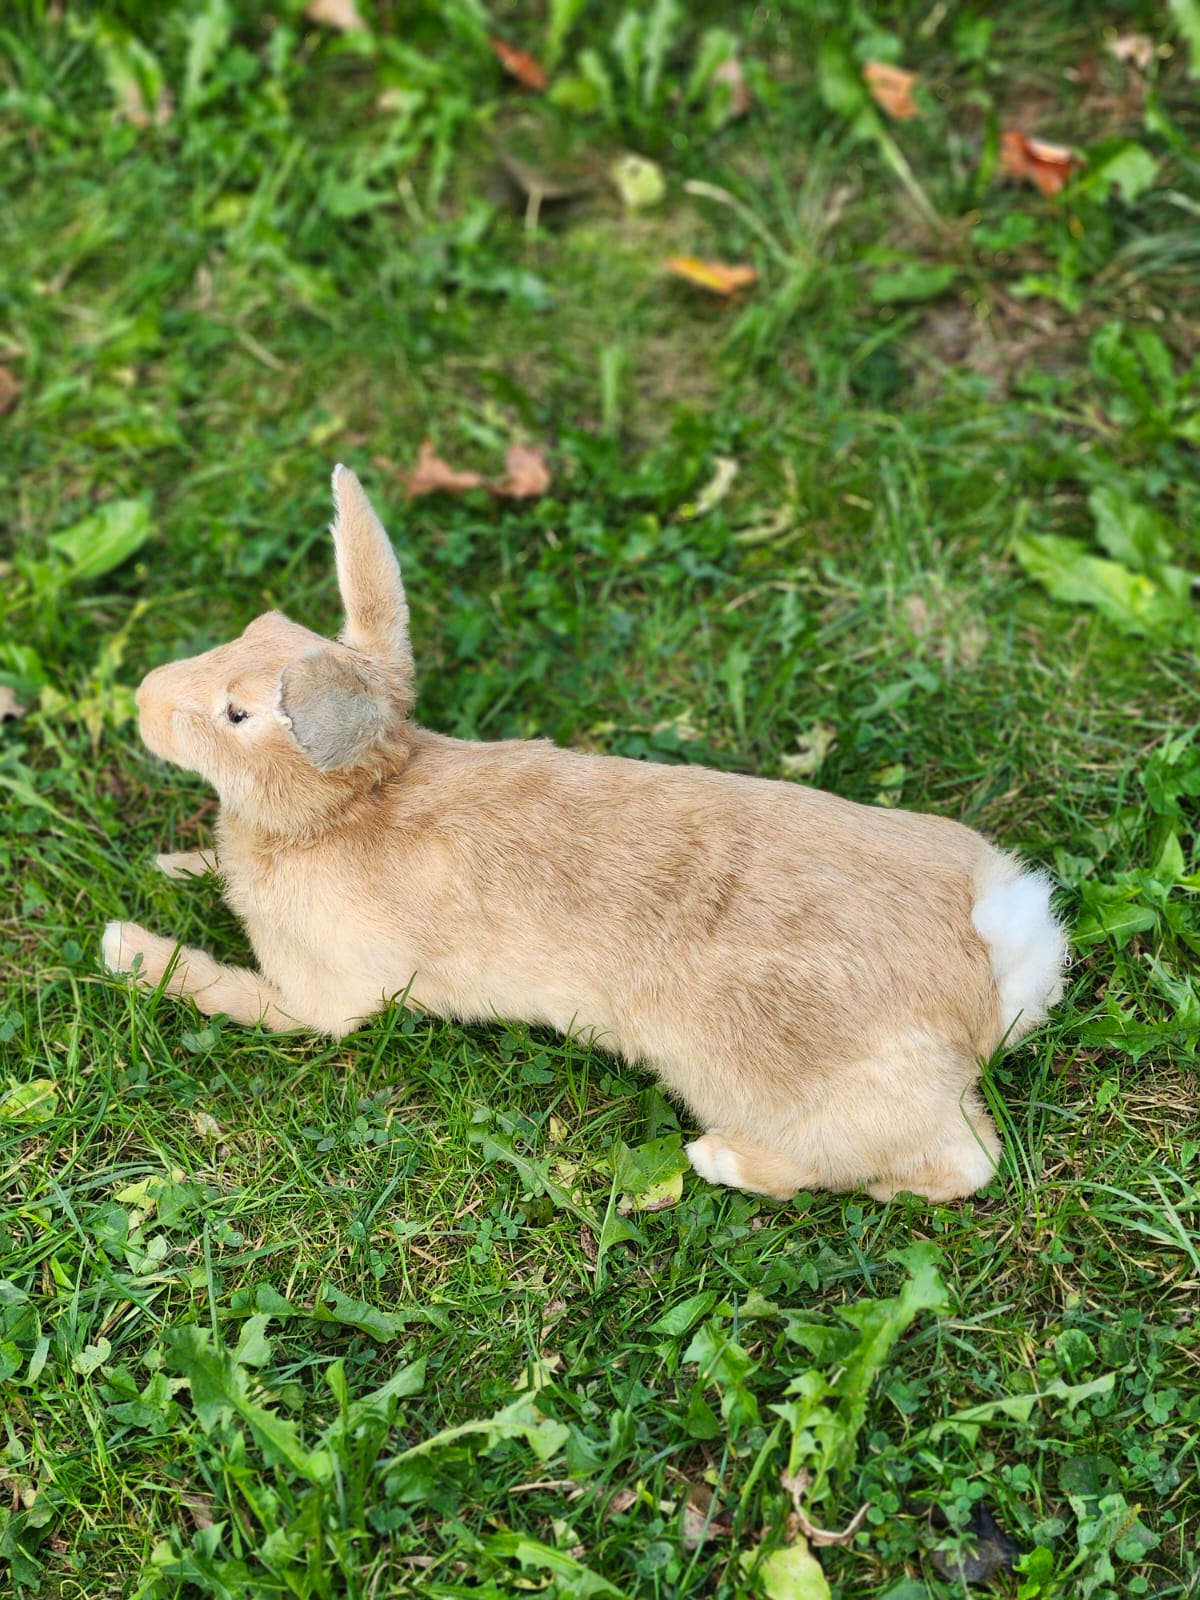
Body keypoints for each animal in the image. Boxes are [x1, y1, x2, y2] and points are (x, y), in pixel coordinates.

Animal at [103, 465, 1066, 1204]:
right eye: (252, 629)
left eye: (237, 715)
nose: (142, 699)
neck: (350, 803)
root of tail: (995, 960)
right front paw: (175, 864)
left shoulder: (322, 1000)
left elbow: (227, 992)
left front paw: (126, 948)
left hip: (779, 1082)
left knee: (956, 1164)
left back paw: (722, 1161)